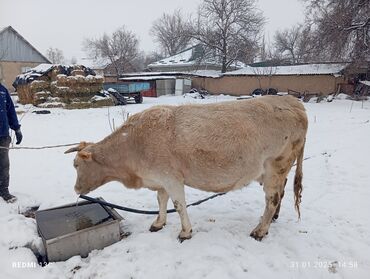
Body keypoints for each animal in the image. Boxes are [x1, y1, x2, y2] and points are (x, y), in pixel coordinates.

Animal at [66, 95, 306, 241]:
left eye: (76, 164)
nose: (76, 189)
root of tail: (292, 100)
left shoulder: (171, 178)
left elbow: (179, 205)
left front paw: (185, 232)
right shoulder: (159, 179)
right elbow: (161, 200)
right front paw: (159, 222)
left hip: (276, 166)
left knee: (273, 198)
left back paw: (260, 230)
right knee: (281, 193)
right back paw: (272, 219)